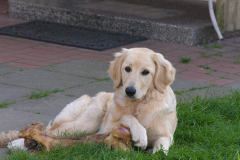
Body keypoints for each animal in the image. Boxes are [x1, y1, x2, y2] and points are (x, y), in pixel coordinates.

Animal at [3, 47, 177, 154]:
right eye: (127, 69)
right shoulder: (107, 127)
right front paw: (140, 133)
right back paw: (18, 144)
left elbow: (162, 146)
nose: (129, 91)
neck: (139, 105)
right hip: (86, 123)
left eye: (145, 72)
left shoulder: (166, 135)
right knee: (50, 132)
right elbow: (127, 116)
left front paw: (157, 152)